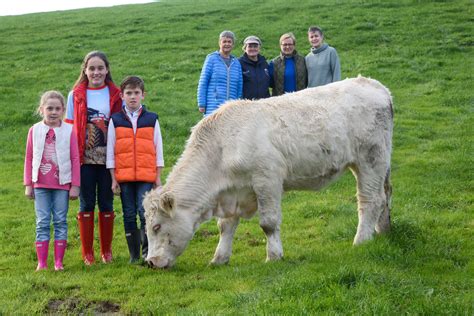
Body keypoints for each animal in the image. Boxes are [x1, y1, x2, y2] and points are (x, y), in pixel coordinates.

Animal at [143, 75, 392, 268]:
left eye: (156, 226)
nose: (151, 262)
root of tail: (376, 86)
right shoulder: (232, 190)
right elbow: (225, 226)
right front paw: (219, 258)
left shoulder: (267, 179)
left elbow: (268, 223)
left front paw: (274, 256)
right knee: (385, 195)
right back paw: (382, 230)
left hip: (370, 160)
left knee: (370, 200)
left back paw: (361, 240)